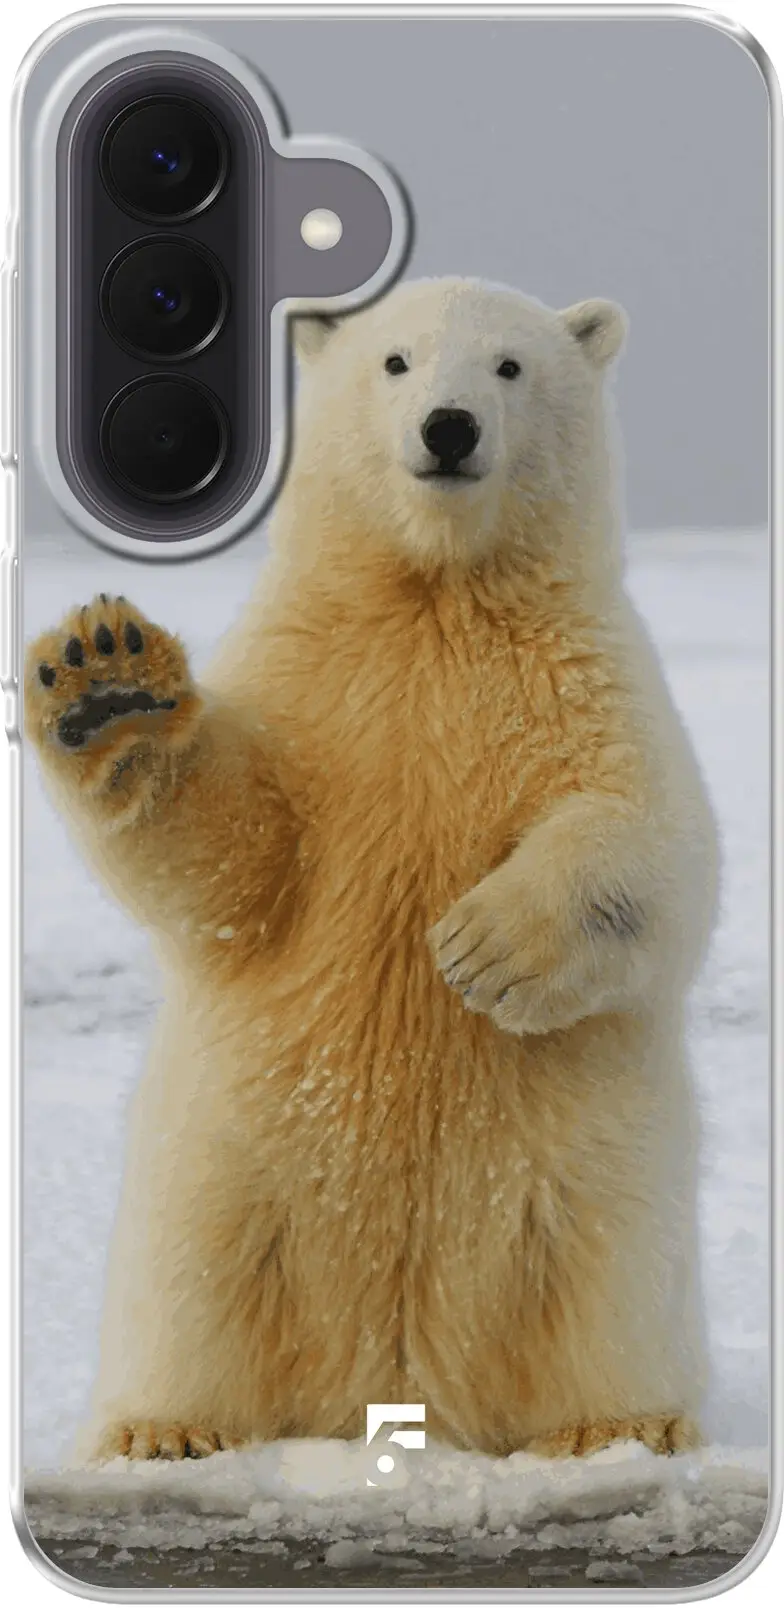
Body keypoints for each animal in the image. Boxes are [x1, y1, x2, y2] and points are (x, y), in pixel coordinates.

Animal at [25, 276, 719, 1464]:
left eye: (508, 366)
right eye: (395, 362)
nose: (449, 428)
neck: (434, 595)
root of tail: (394, 1384)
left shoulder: (586, 677)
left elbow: (655, 840)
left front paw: (482, 948)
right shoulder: (313, 684)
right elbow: (236, 859)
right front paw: (107, 681)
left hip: (591, 1176)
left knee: (604, 1280)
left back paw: (616, 1425)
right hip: (224, 1163)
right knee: (195, 1282)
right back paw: (164, 1429)